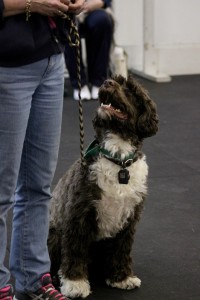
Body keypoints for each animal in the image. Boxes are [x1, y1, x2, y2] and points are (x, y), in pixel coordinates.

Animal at [47, 74, 159, 298]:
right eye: (114, 79)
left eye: (130, 89)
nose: (107, 83)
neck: (119, 161)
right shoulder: (78, 215)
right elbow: (75, 250)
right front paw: (75, 283)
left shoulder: (129, 219)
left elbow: (121, 249)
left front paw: (121, 277)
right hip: (54, 236)